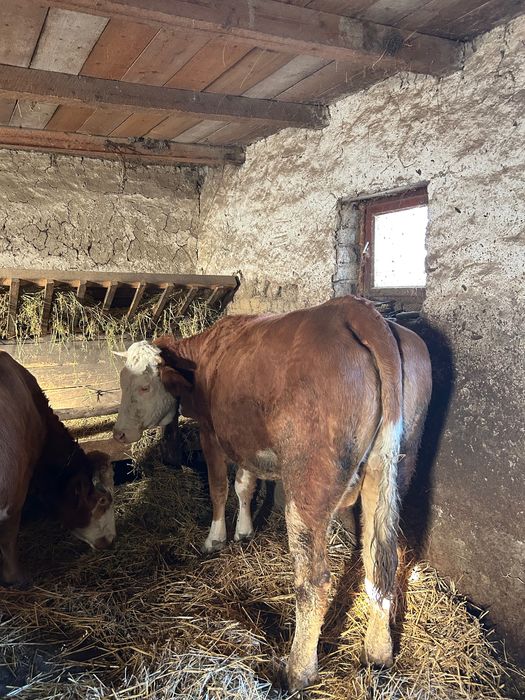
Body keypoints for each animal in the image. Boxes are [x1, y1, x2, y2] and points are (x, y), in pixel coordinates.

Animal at [113, 295, 431, 690]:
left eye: (143, 387)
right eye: (122, 382)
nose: (119, 432)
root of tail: (355, 309)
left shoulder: (211, 432)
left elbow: (219, 486)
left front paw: (216, 538)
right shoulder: (245, 438)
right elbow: (244, 484)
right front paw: (244, 531)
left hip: (307, 483)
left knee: (314, 580)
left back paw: (298, 669)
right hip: (394, 468)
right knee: (381, 559)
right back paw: (378, 652)